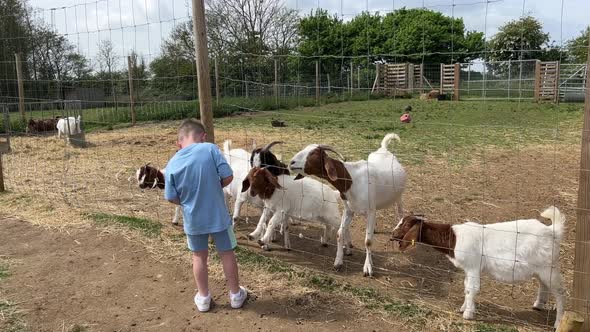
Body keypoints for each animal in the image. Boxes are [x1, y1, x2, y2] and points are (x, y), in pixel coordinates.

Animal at [290, 132, 408, 274]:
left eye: (313, 153)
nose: (291, 162)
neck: (352, 180)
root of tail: (384, 149)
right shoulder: (349, 210)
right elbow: (339, 234)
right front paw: (338, 262)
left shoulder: (369, 211)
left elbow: (368, 241)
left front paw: (368, 267)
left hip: (398, 196)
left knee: (400, 211)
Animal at [394, 208, 568, 330]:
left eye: (405, 224)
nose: (393, 234)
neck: (454, 238)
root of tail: (552, 230)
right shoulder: (468, 269)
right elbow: (466, 288)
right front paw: (463, 308)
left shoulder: (472, 266)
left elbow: (472, 289)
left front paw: (468, 314)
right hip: (541, 268)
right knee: (543, 285)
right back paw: (538, 304)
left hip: (549, 266)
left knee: (560, 292)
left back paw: (558, 322)